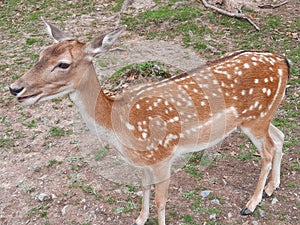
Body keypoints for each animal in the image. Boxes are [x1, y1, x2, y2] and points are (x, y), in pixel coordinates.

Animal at [9, 20, 290, 224]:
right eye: (41, 53)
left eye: (63, 64)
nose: (15, 88)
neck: (120, 125)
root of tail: (284, 62)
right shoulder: (143, 161)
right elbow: (144, 188)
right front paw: (139, 219)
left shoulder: (163, 155)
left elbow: (160, 201)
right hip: (261, 116)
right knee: (280, 137)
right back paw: (271, 188)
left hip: (255, 118)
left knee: (267, 150)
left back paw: (250, 204)